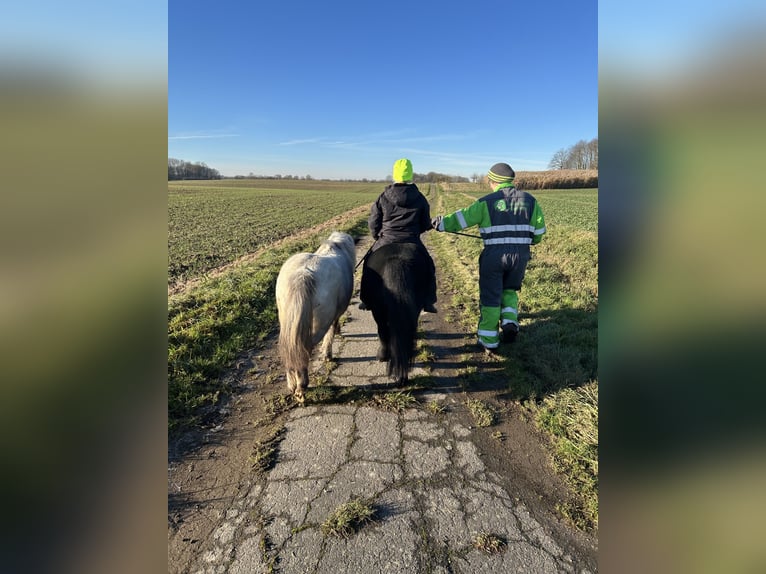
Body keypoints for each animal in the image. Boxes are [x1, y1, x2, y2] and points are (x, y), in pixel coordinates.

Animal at [276, 231, 356, 404]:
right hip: (320, 322)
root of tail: (303, 275)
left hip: (287, 320)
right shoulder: (335, 313)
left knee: (291, 349)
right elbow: (332, 329)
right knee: (304, 349)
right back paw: (301, 387)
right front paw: (328, 354)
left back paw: (292, 384)